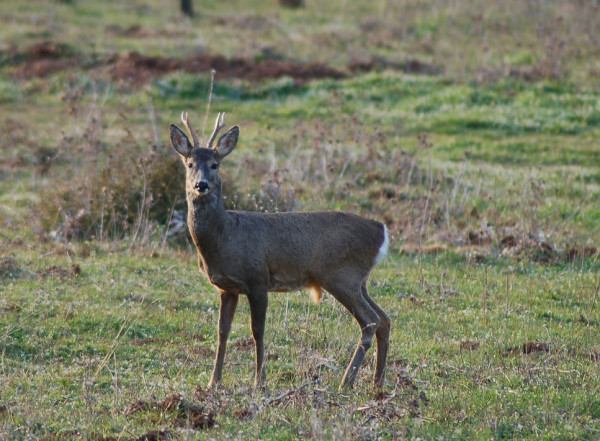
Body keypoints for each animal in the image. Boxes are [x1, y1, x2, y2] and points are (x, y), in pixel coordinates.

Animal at [169, 111, 391, 390]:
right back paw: (377, 382)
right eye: (189, 164)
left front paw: (259, 380)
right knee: (385, 319)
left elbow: (258, 330)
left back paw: (346, 382)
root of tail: (381, 230)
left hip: (341, 275)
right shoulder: (226, 288)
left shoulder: (258, 278)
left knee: (370, 321)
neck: (226, 236)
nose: (201, 185)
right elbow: (222, 331)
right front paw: (214, 382)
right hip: (359, 280)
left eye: (214, 164)